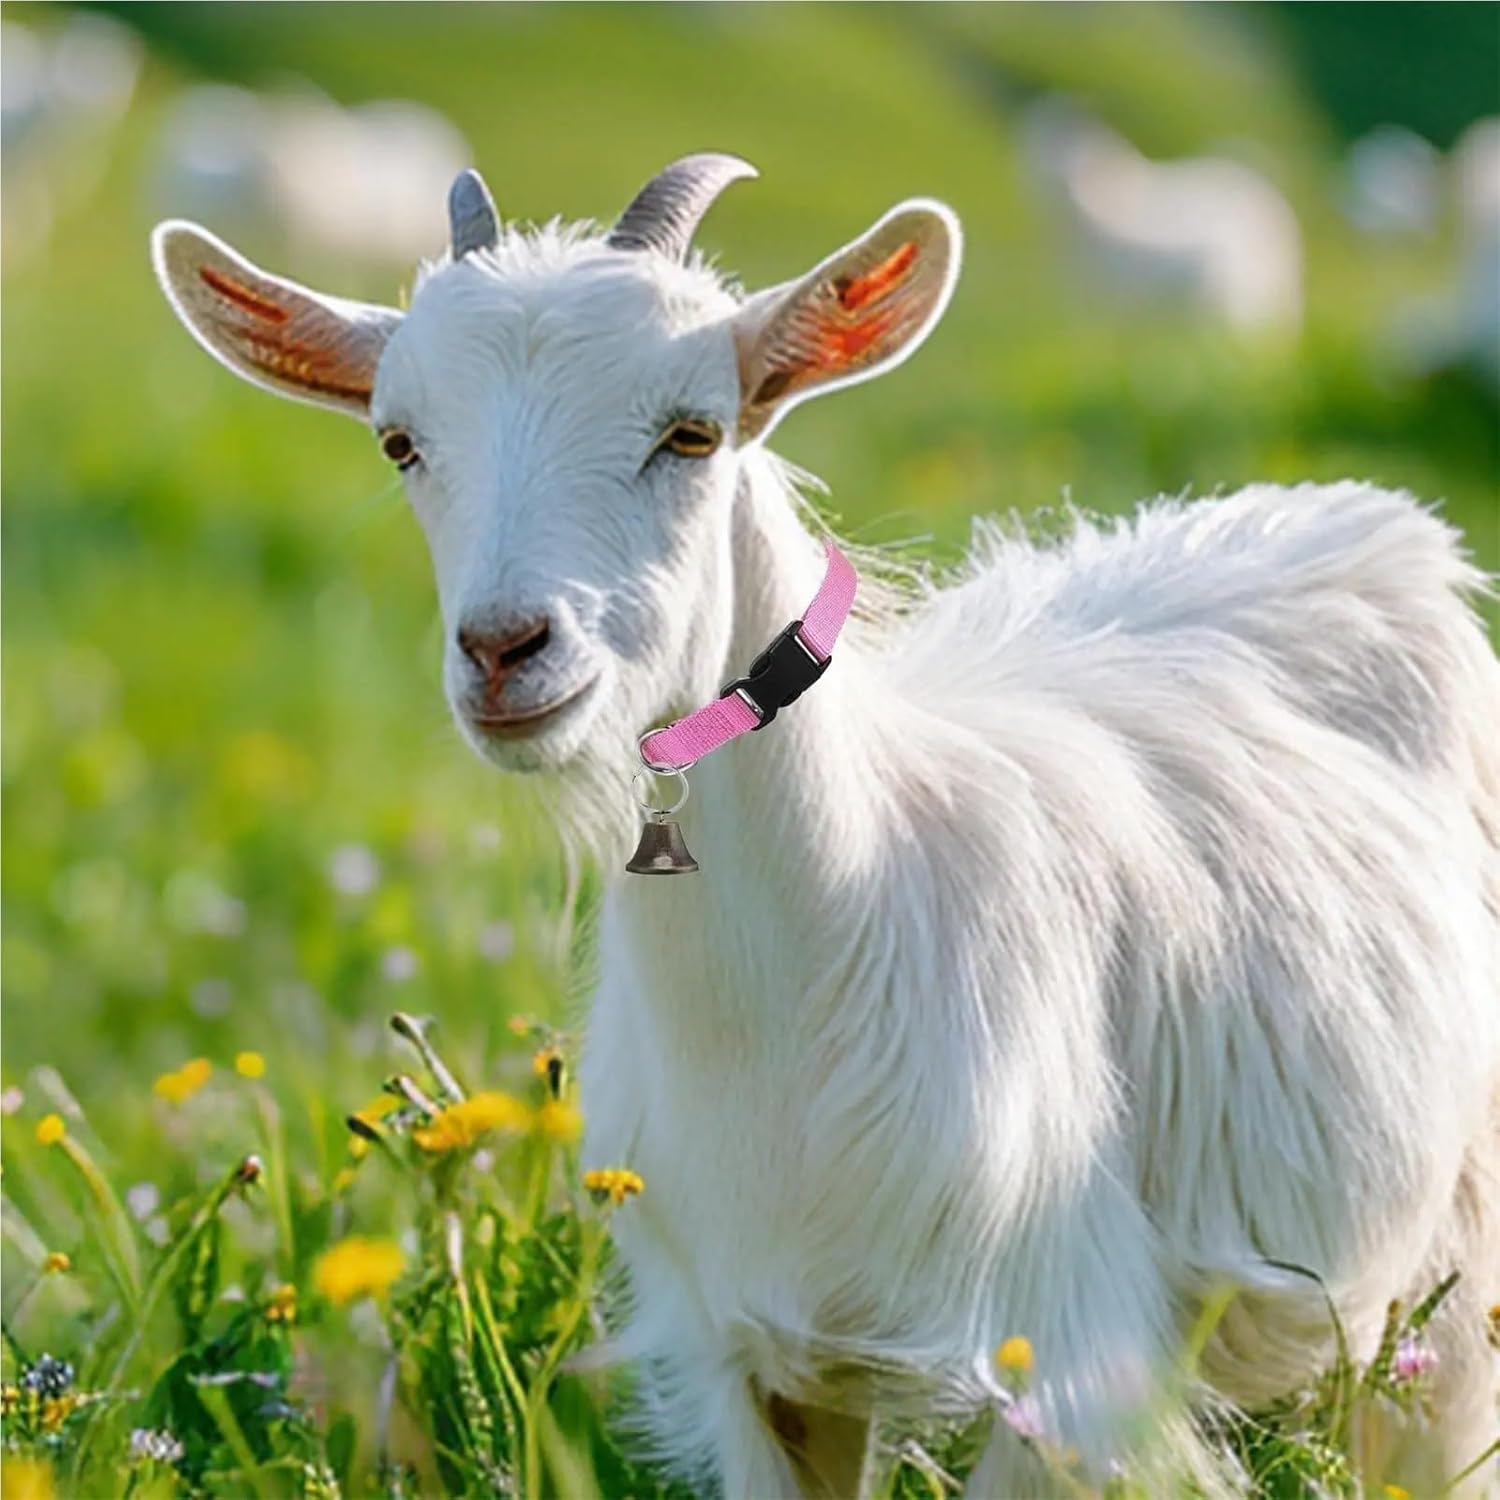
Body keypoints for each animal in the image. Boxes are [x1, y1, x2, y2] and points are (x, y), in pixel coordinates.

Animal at [150, 155, 1500, 1497]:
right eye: (401, 441)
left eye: (692, 432)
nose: (504, 649)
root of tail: (1365, 514)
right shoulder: (761, 1365)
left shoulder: (1064, 1363)